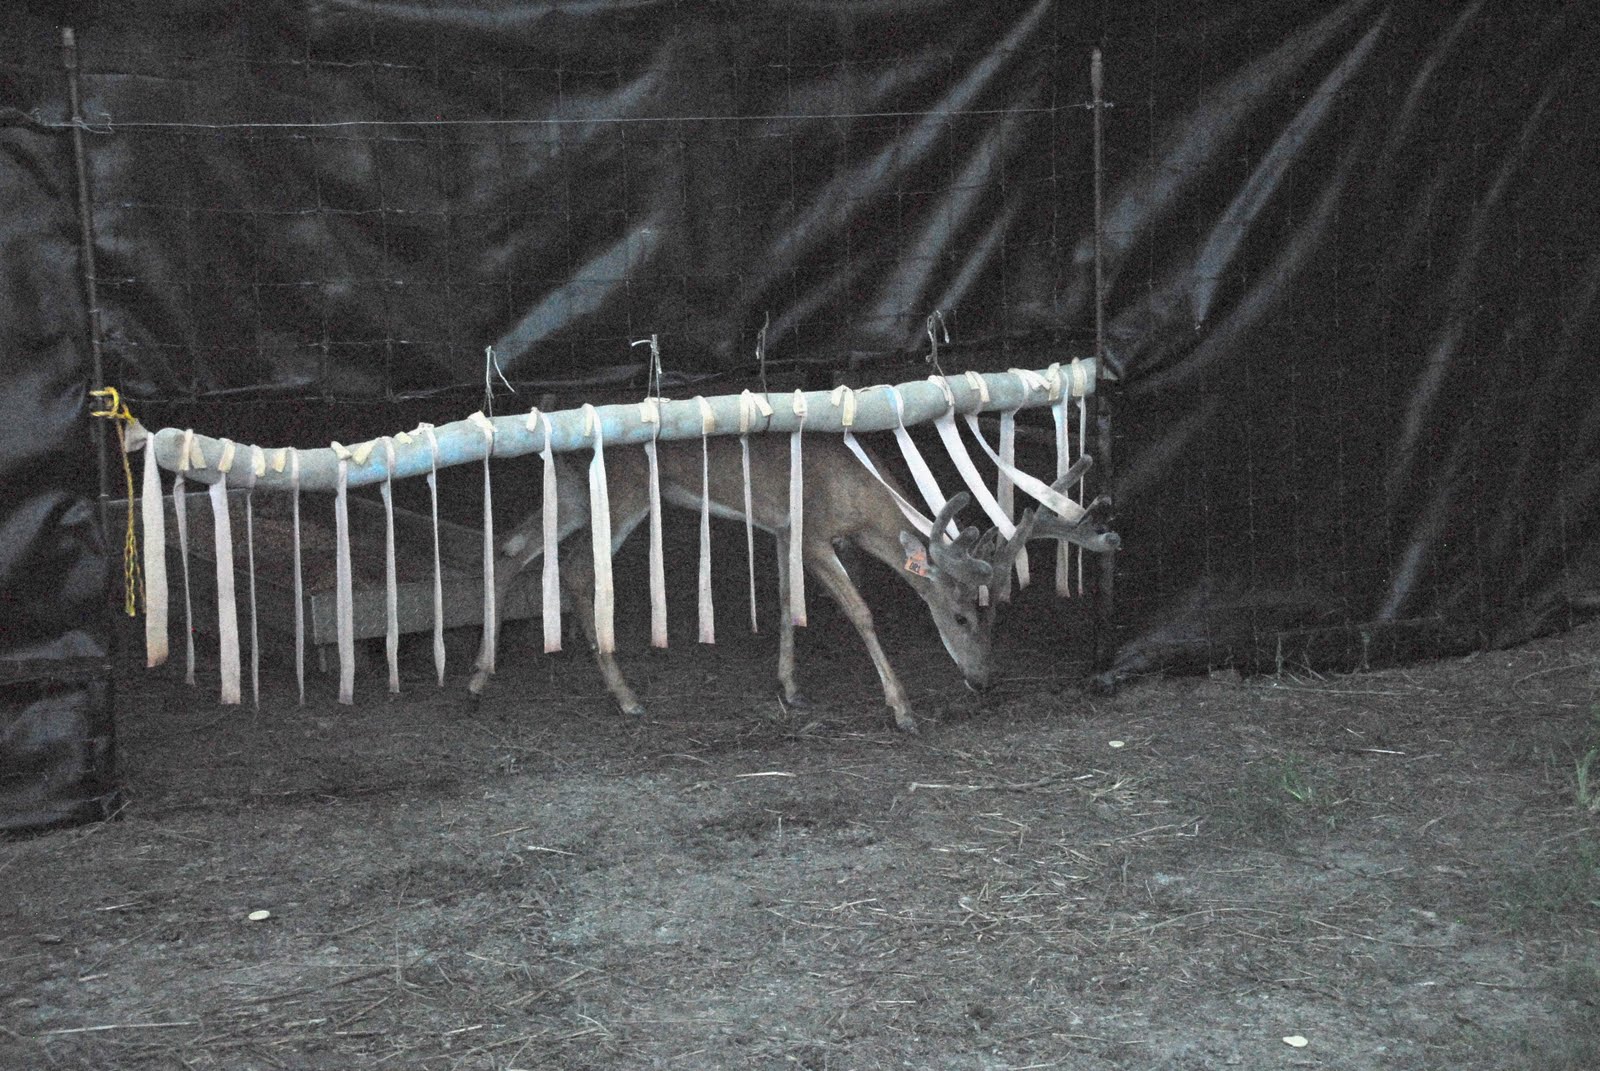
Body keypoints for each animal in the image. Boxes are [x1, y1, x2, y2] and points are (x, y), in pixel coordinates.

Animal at [469, 432, 1118, 732]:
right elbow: (858, 611)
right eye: (959, 615)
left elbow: (785, 604)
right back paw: (625, 696)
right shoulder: (812, 532)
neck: (855, 497)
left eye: (995, 614)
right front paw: (902, 709)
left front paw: (789, 687)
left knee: (509, 549)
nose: (984, 680)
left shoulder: (782, 529)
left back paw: (482, 675)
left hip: (572, 491)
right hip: (621, 493)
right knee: (574, 568)